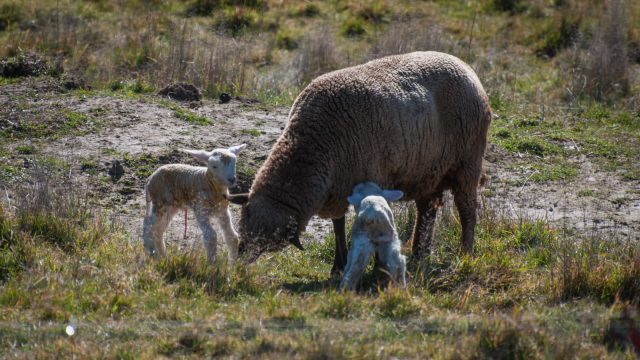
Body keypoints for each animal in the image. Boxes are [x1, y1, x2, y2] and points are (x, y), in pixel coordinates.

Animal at [228, 51, 492, 272]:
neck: (315, 144)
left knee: (468, 212)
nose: (238, 263)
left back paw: (465, 253)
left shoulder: (372, 183)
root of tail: (467, 68)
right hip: (428, 172)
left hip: (468, 162)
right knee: (427, 212)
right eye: (242, 224)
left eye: (265, 239)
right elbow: (338, 226)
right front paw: (338, 265)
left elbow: (375, 223)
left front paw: (377, 266)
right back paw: (419, 256)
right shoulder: (339, 189)